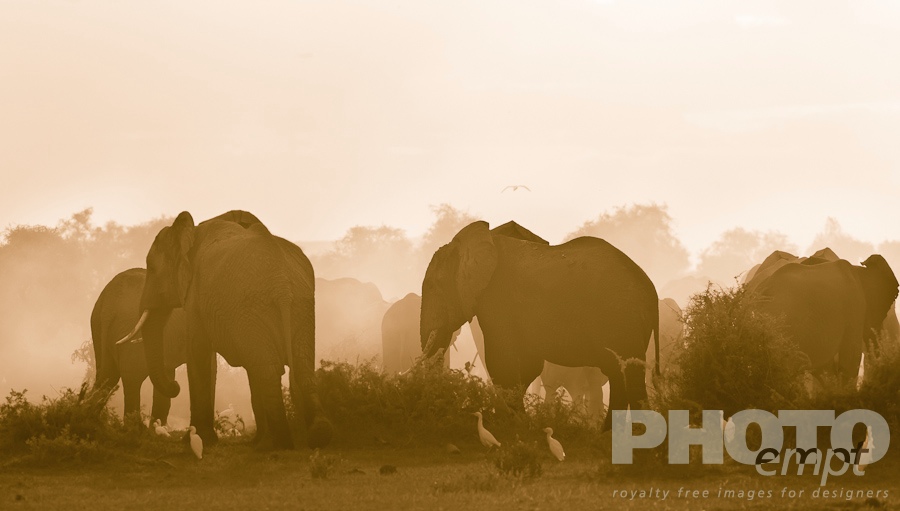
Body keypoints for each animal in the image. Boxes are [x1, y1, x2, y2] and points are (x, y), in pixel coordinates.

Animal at [91, 268, 187, 426]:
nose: (176, 385)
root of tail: (108, 306)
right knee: (132, 378)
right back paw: (135, 427)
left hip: (97, 326)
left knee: (107, 377)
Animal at [118, 210, 332, 449]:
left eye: (153, 268)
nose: (175, 385)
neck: (189, 233)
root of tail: (282, 284)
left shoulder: (197, 296)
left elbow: (199, 352)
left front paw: (197, 441)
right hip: (299, 307)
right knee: (298, 368)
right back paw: (315, 436)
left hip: (255, 304)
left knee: (268, 371)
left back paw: (279, 444)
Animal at [418, 220, 659, 430]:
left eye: (432, 286)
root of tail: (650, 288)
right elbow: (527, 365)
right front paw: (520, 421)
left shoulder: (497, 300)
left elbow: (502, 360)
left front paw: (512, 423)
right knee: (620, 375)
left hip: (621, 317)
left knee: (627, 375)